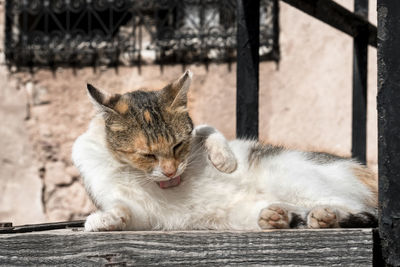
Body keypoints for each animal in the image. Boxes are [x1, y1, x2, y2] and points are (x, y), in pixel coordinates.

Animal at [72, 71, 378, 232]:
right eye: (147, 155)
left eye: (178, 146)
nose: (170, 171)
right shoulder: (144, 215)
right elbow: (125, 210)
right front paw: (104, 219)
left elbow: (207, 130)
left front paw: (223, 158)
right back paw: (279, 216)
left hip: (291, 175)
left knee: (357, 208)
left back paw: (324, 216)